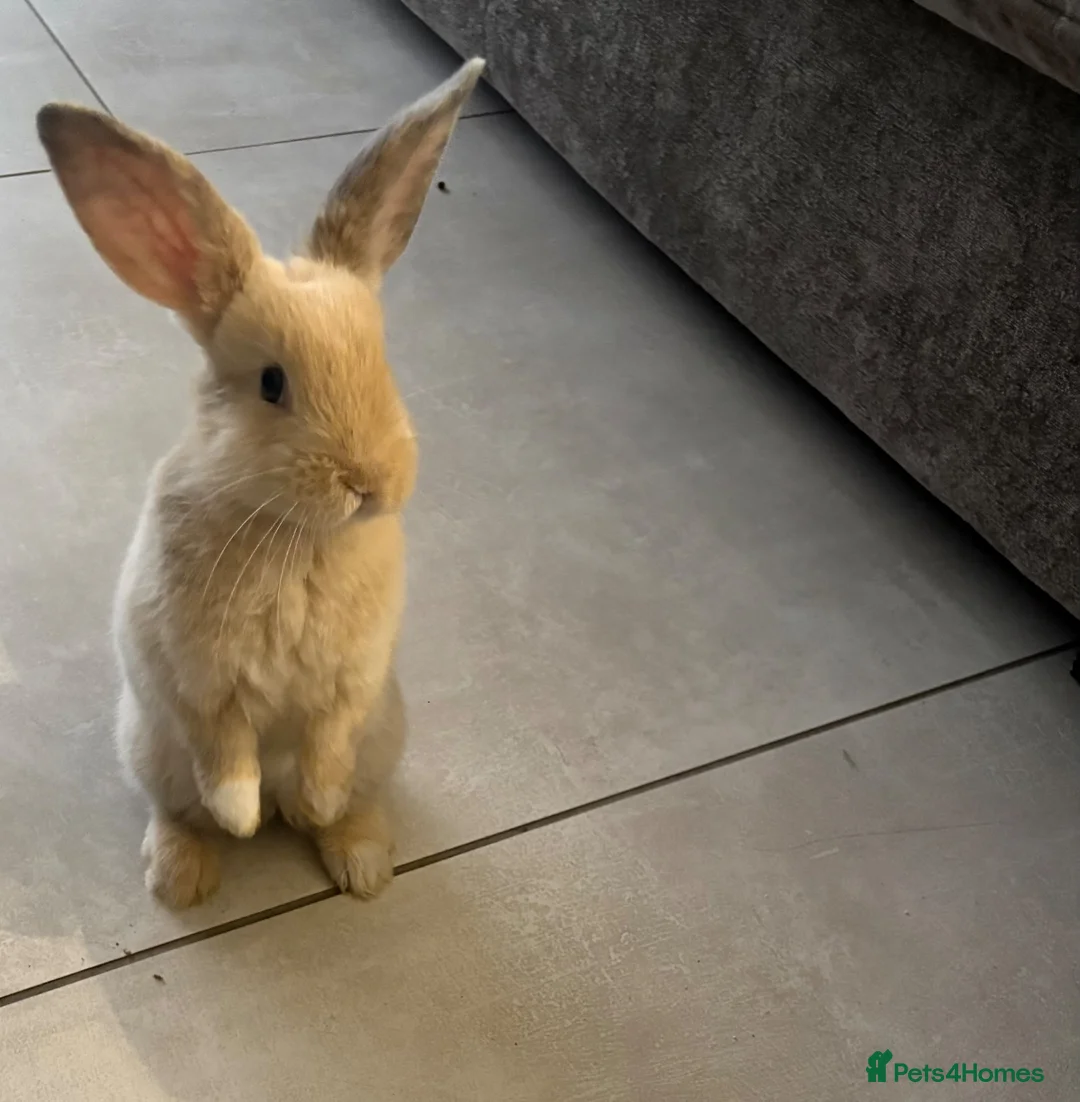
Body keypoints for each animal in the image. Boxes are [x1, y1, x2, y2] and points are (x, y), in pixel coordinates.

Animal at [36, 57, 486, 909]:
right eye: (272, 384)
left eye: (383, 362)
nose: (370, 483)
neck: (297, 532)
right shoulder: (197, 679)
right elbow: (228, 754)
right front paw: (243, 819)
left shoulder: (352, 686)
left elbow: (327, 744)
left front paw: (316, 802)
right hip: (149, 746)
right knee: (179, 810)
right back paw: (185, 878)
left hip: (386, 734)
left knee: (352, 797)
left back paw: (357, 860)